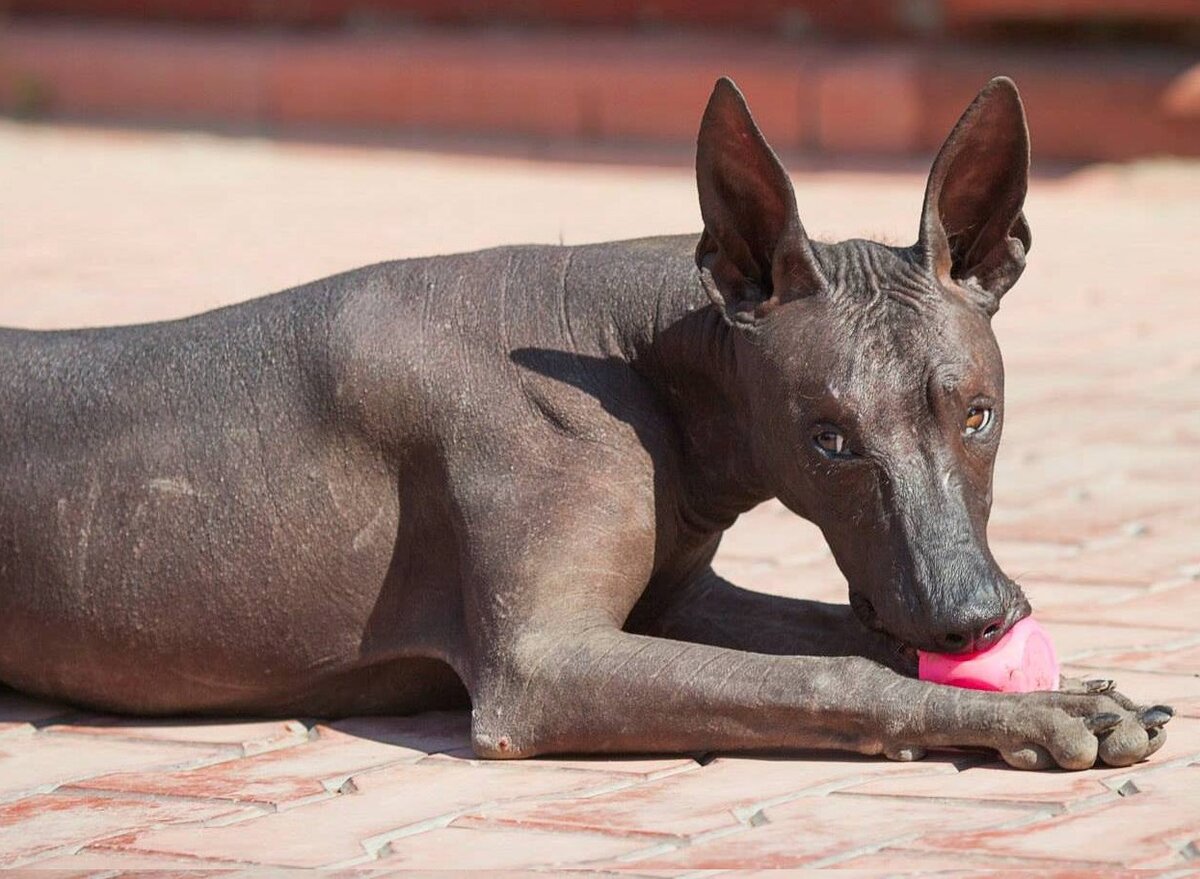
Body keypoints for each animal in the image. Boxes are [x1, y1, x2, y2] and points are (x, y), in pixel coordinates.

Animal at [0, 79, 1171, 773]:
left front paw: (1078, 685)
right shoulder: (542, 668)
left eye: (978, 413)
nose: (972, 617)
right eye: (829, 437)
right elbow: (837, 674)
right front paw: (1028, 716)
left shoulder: (683, 596)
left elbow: (848, 632)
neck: (644, 364)